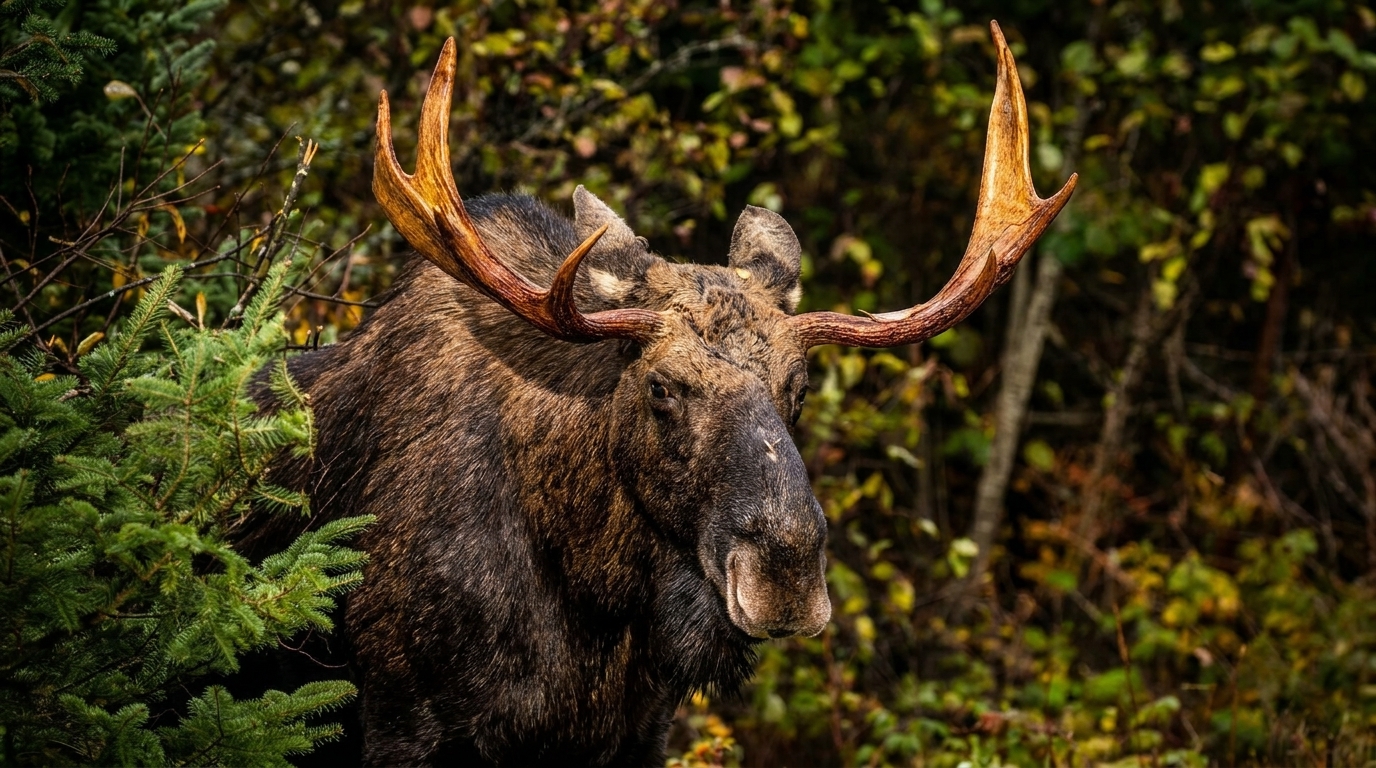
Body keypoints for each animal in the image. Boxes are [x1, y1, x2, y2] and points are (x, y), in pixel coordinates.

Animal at [245, 20, 1075, 766]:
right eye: (661, 387)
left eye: (798, 386)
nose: (784, 578)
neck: (591, 591)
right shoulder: (405, 719)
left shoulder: (641, 730)